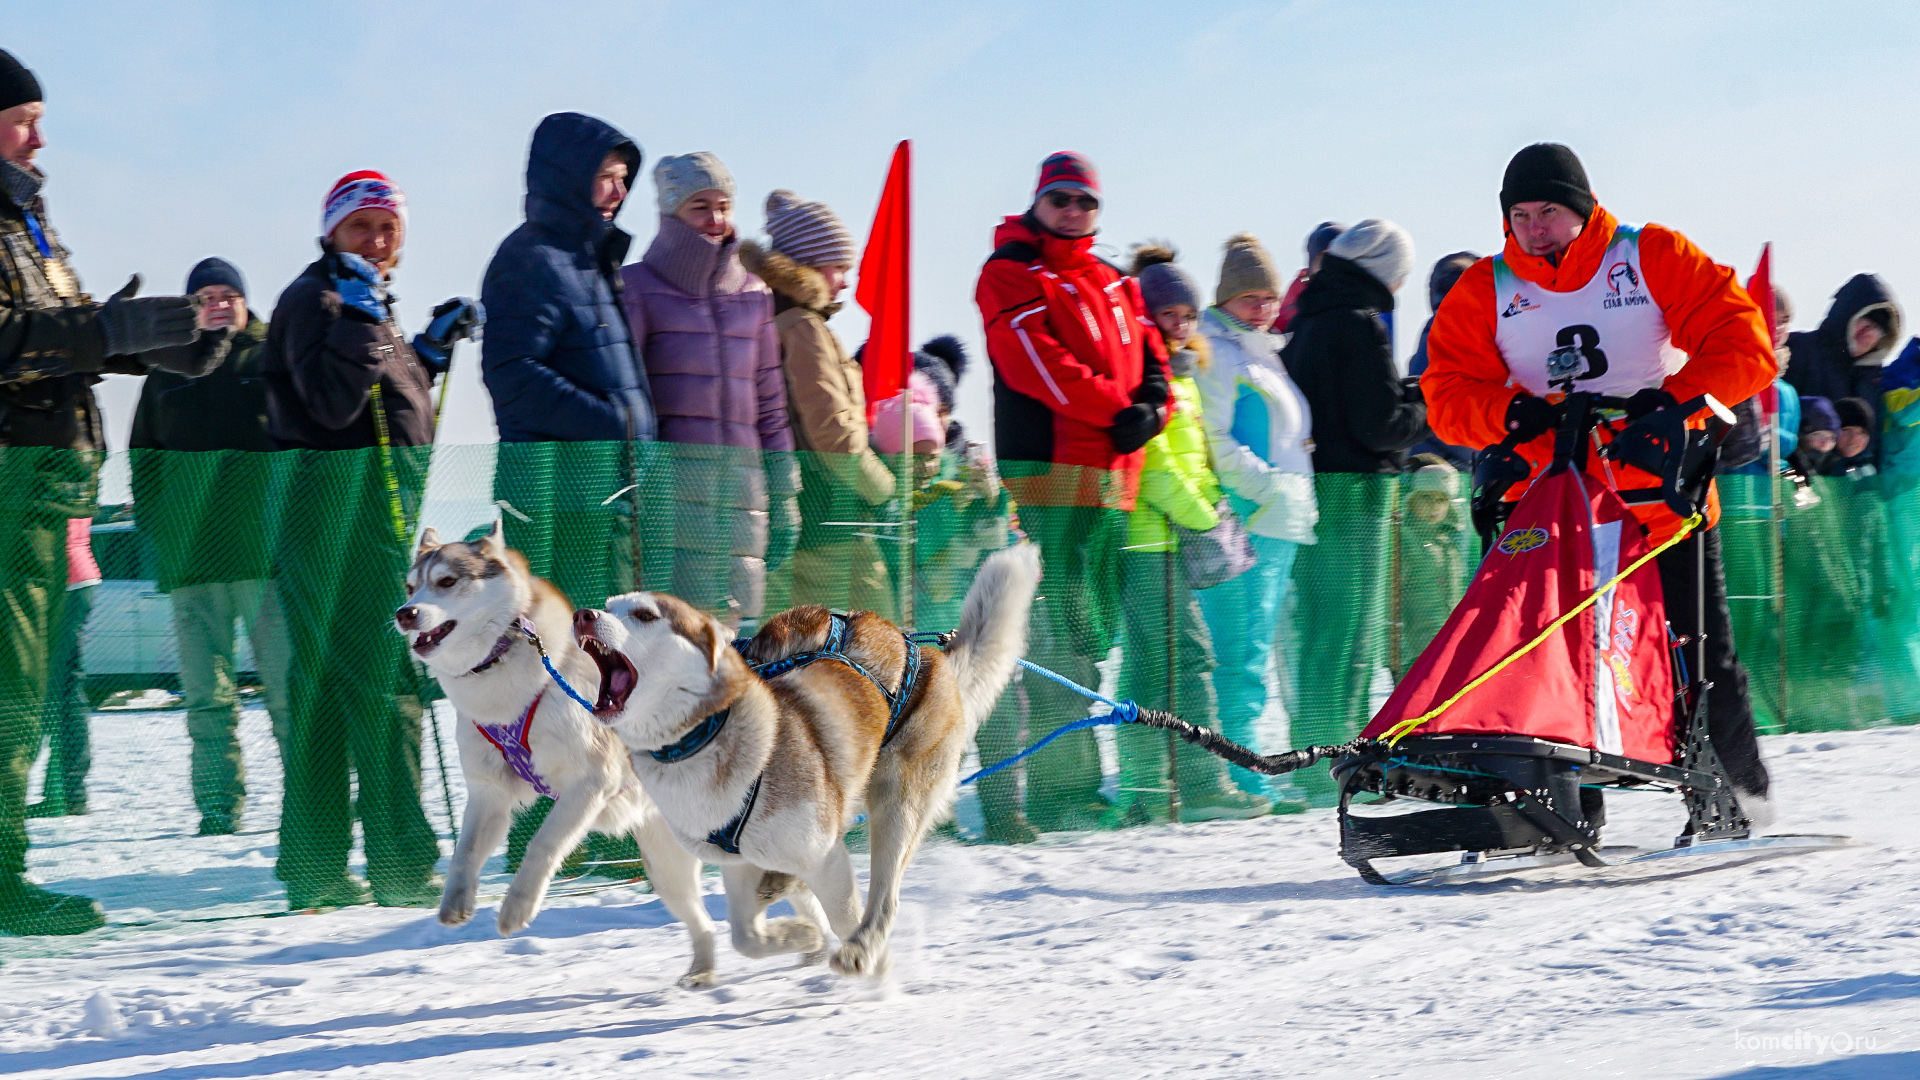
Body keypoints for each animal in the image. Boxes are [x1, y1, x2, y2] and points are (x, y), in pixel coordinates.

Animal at [397, 522, 733, 983]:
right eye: (410, 587)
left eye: (446, 582)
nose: (404, 613)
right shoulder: (489, 795)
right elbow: (464, 852)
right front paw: (456, 903)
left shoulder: (590, 783)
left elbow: (542, 844)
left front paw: (516, 908)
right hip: (669, 867)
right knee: (702, 921)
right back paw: (704, 972)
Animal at [576, 541, 1044, 972]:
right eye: (610, 606)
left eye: (645, 615)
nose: (583, 614)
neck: (708, 734)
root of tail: (927, 652)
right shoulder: (737, 862)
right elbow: (746, 937)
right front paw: (800, 935)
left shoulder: (825, 855)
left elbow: (844, 916)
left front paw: (873, 970)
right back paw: (785, 891)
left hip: (895, 805)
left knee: (884, 898)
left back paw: (861, 945)